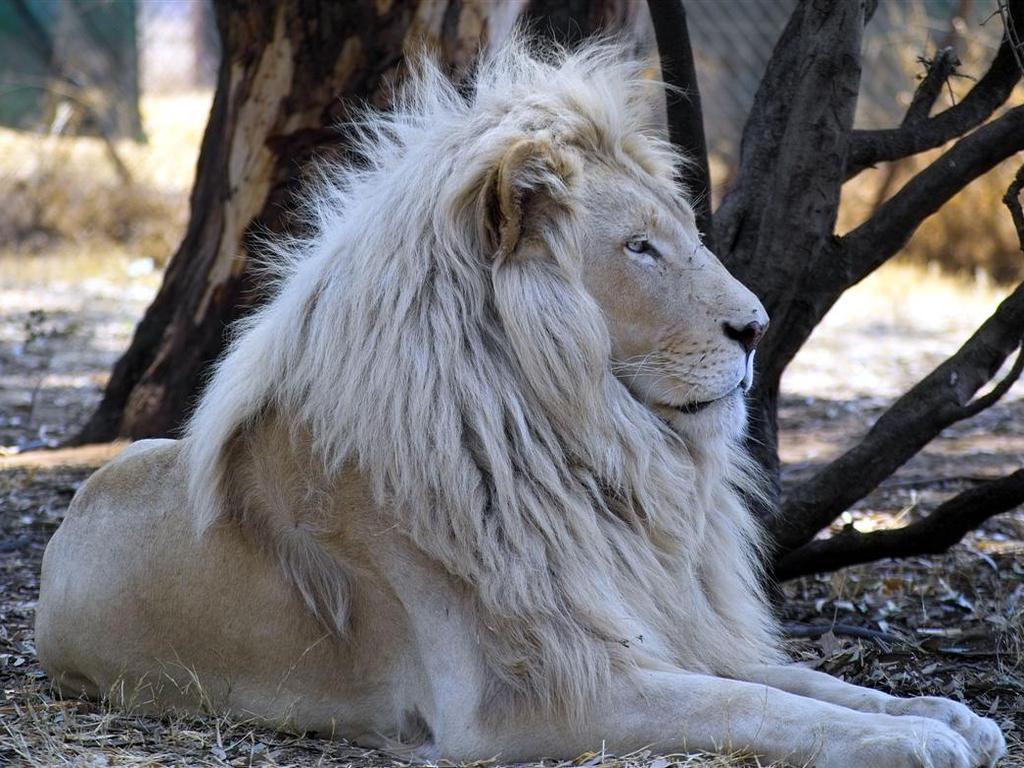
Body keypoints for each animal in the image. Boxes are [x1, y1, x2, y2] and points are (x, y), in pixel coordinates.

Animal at [36, 40, 1005, 767]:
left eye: (685, 237)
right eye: (639, 248)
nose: (758, 327)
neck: (590, 456)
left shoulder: (664, 628)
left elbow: (802, 682)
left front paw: (946, 714)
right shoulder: (526, 695)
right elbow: (750, 708)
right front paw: (911, 741)